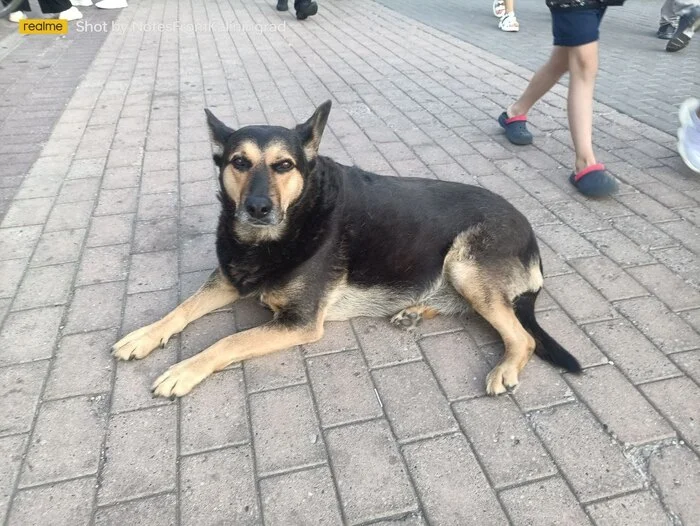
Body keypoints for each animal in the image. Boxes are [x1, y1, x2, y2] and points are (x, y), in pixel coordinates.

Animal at [112, 100, 584, 400]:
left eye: (284, 165)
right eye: (239, 163)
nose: (258, 208)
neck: (284, 230)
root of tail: (531, 234)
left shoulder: (300, 323)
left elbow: (227, 341)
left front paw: (183, 370)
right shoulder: (227, 280)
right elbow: (180, 309)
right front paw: (144, 335)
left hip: (465, 265)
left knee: (522, 336)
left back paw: (503, 368)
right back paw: (414, 310)